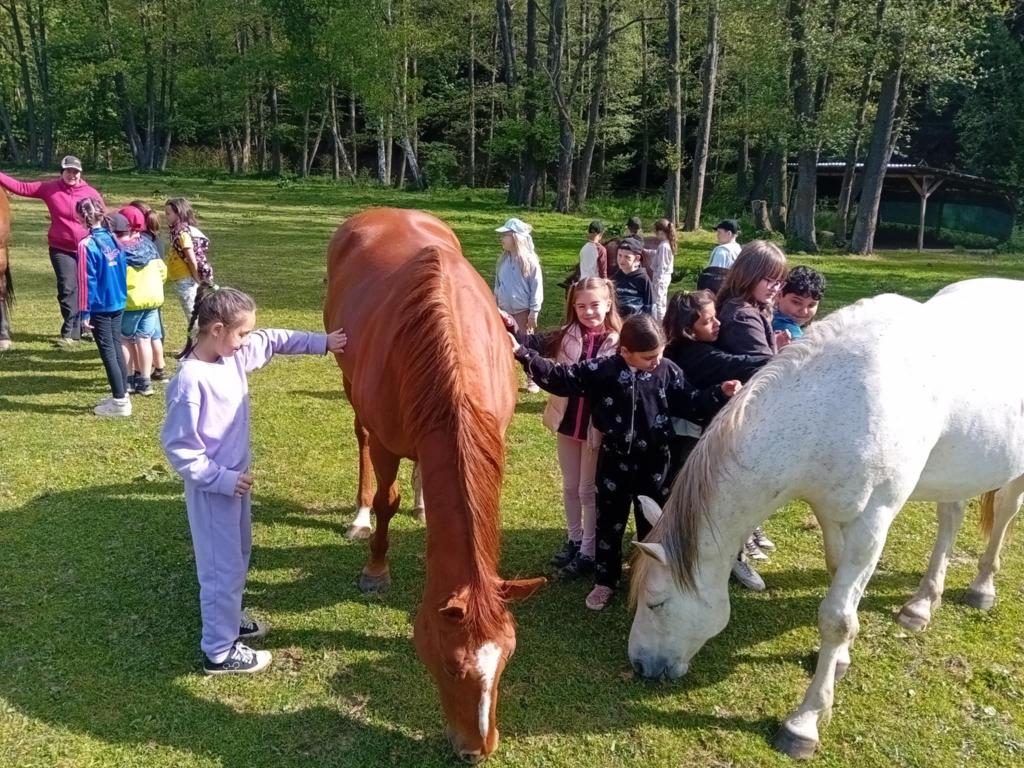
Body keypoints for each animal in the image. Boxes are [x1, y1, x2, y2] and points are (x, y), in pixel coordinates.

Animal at [323, 208, 544, 763]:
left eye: (508, 658)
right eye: (449, 664)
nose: (478, 750)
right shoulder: (385, 441)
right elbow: (386, 500)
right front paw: (376, 569)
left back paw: (424, 505)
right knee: (360, 442)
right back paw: (360, 516)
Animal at [626, 278, 1024, 760]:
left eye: (656, 603)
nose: (640, 664)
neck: (834, 407)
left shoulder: (872, 524)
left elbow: (836, 616)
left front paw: (804, 723)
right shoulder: (832, 515)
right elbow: (840, 588)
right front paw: (840, 661)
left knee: (1004, 514)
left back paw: (982, 587)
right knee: (951, 517)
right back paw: (921, 605)